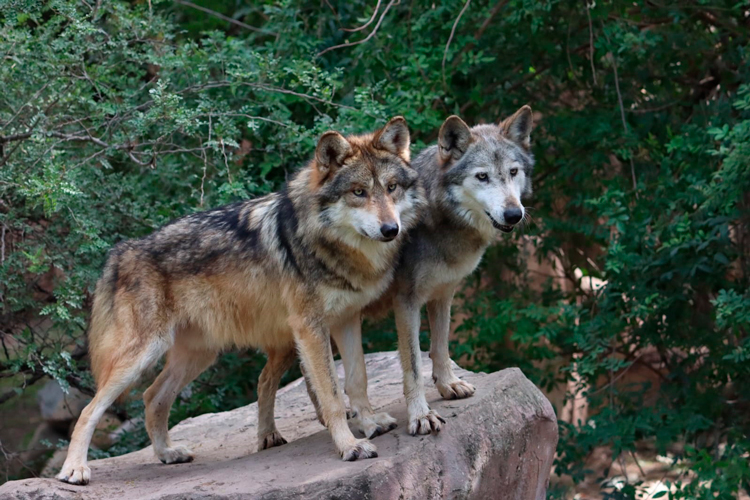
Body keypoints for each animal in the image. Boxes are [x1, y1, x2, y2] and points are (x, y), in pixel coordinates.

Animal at [56, 117, 423, 485]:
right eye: (358, 192)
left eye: (391, 187)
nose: (391, 229)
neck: (331, 243)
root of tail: (121, 251)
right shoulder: (310, 328)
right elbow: (332, 396)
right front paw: (350, 446)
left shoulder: (346, 319)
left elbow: (357, 379)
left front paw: (370, 423)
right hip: (141, 356)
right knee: (90, 409)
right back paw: (74, 469)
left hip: (199, 356)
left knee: (152, 396)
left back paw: (167, 454)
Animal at [263, 107, 535, 438]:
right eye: (482, 176)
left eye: (513, 172)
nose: (514, 214)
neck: (439, 218)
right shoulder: (406, 301)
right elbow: (413, 365)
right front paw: (421, 416)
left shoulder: (443, 294)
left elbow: (440, 347)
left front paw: (448, 385)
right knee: (275, 377)